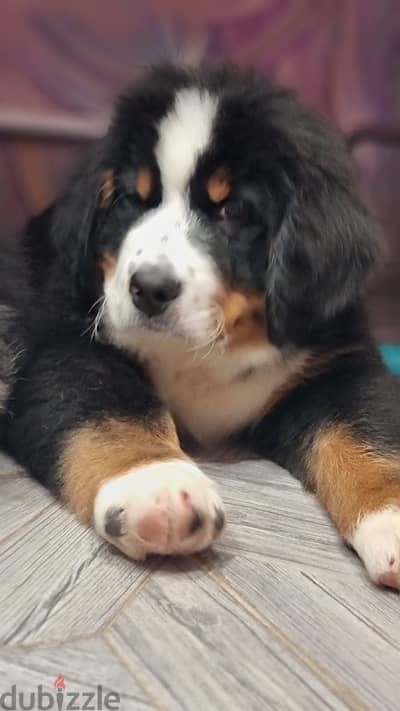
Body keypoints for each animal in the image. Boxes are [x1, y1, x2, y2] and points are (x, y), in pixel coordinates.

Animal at [2, 65, 400, 588]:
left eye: (233, 211)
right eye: (132, 200)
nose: (149, 289)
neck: (207, 351)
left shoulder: (336, 367)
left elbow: (368, 432)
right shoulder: (65, 345)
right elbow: (109, 409)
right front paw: (158, 485)